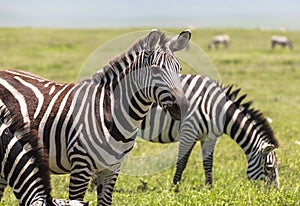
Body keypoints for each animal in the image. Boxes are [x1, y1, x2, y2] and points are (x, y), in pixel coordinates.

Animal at [0, 28, 191, 204]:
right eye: (156, 71)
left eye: (179, 69)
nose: (183, 107)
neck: (111, 108)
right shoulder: (81, 166)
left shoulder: (112, 168)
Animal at [139, 74, 280, 188]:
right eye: (269, 168)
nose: (276, 191)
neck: (217, 109)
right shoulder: (189, 132)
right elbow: (182, 162)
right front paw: (175, 187)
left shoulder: (208, 137)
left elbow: (208, 162)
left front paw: (209, 187)